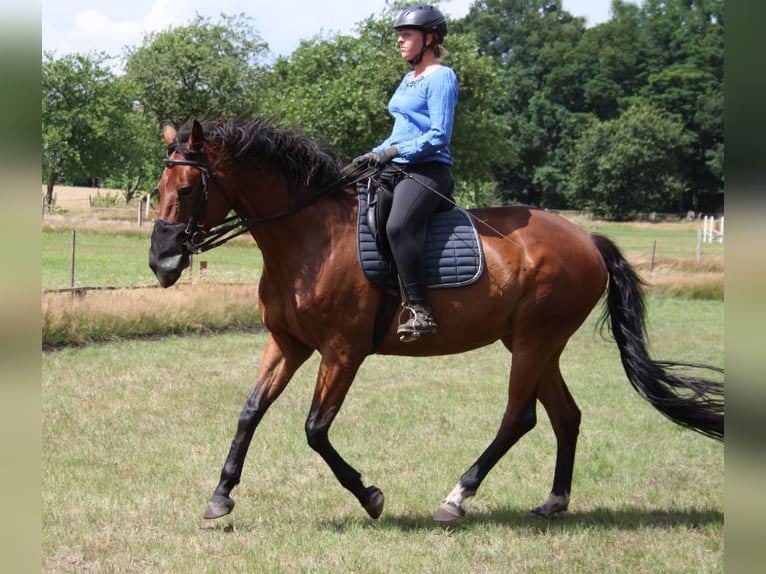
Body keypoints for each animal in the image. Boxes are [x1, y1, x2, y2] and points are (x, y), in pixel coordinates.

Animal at [150, 118, 728, 528]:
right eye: (158, 187)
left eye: (189, 188)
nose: (161, 263)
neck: (311, 237)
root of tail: (587, 238)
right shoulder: (288, 343)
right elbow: (250, 412)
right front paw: (220, 496)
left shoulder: (343, 350)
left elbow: (315, 428)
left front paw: (371, 497)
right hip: (536, 343)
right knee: (565, 415)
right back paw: (553, 501)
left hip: (534, 342)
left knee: (519, 419)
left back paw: (457, 497)